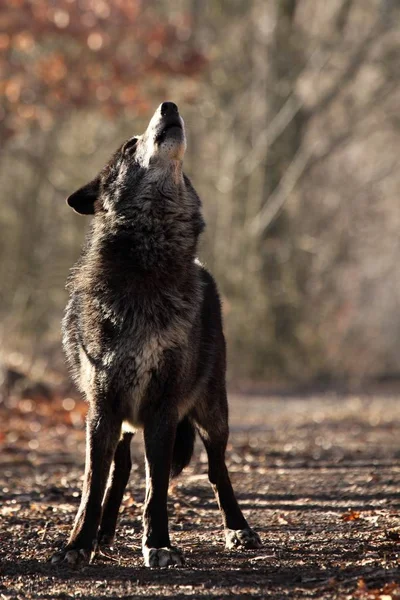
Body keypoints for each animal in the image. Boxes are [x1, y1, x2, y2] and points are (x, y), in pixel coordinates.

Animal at [51, 101, 260, 564]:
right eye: (131, 145)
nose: (169, 106)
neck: (149, 265)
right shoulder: (102, 407)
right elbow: (92, 485)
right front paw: (77, 545)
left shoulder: (164, 407)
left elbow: (157, 487)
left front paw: (159, 544)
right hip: (125, 420)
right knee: (121, 468)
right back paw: (103, 534)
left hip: (212, 411)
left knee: (217, 469)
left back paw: (239, 529)